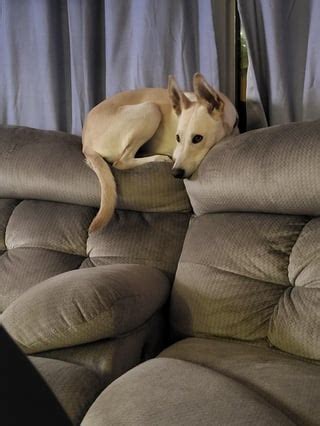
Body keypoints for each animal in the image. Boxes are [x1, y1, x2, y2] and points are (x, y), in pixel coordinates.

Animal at [82, 73, 238, 233]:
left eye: (197, 138)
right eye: (178, 138)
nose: (175, 173)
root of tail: (85, 144)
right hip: (151, 109)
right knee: (121, 161)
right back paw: (159, 158)